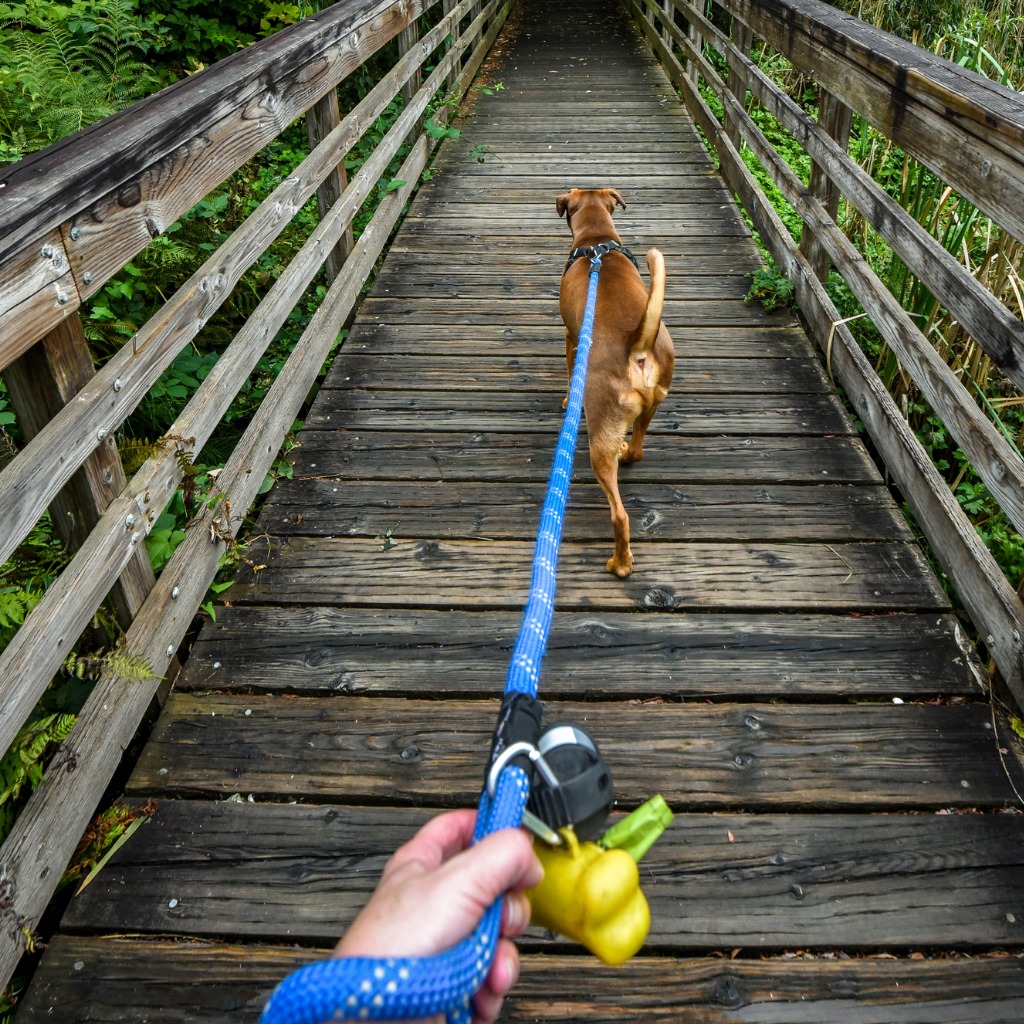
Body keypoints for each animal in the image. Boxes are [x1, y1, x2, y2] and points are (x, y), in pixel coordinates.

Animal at [557, 186, 675, 577]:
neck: (596, 241)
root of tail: (635, 346)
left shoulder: (570, 338)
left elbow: (569, 373)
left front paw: (568, 401)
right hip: (653, 402)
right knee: (637, 448)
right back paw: (628, 450)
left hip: (599, 440)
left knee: (620, 516)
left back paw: (620, 564)